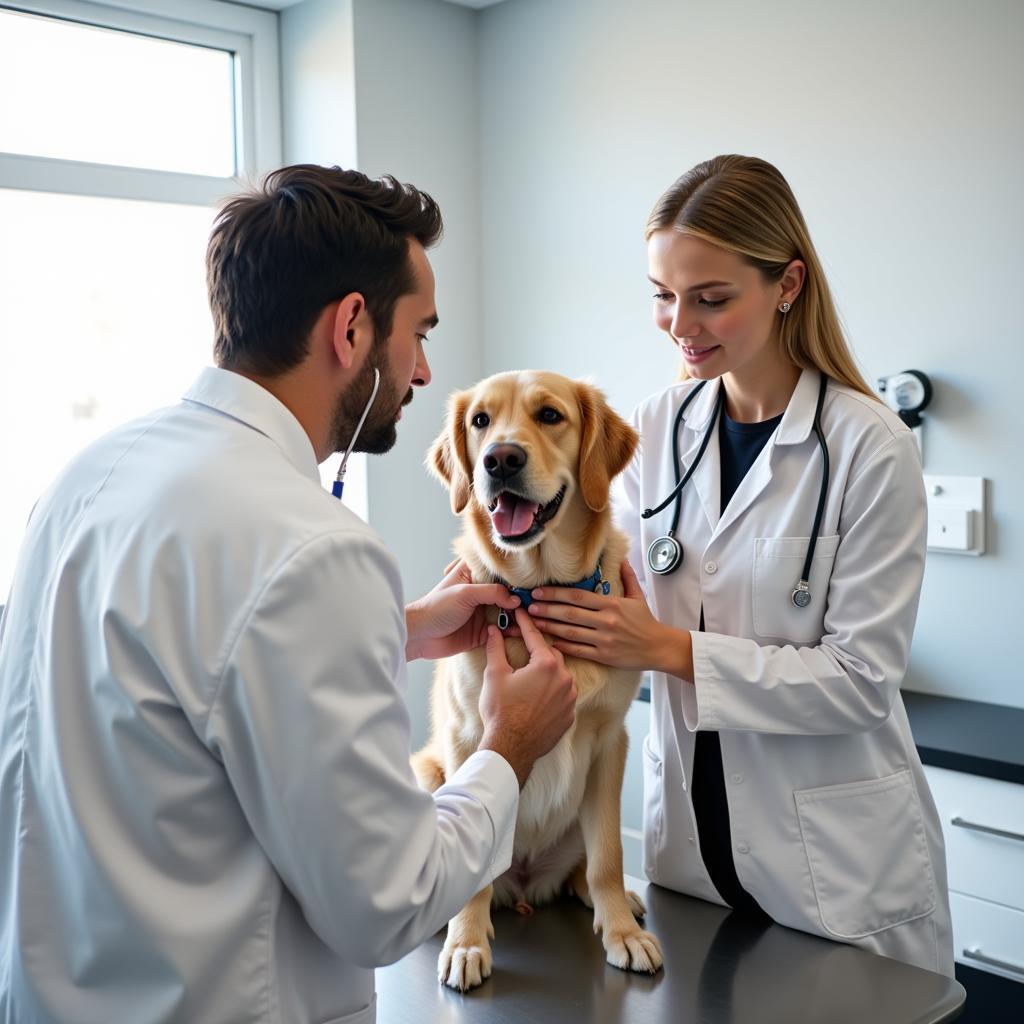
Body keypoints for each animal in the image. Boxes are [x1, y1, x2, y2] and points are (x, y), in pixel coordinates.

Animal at [413, 370, 663, 991]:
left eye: (550, 416)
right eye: (480, 421)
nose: (500, 459)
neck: (538, 588)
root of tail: (526, 885)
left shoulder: (610, 740)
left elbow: (608, 857)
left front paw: (621, 930)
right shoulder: (466, 740)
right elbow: (473, 856)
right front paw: (466, 941)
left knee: (587, 865)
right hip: (427, 773)